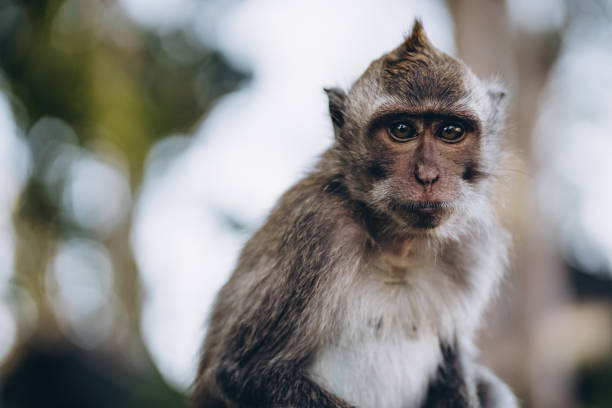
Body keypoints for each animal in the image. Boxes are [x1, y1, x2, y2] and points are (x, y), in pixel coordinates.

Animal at [194, 19, 520, 408]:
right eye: (401, 129)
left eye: (450, 131)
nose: (427, 176)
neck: (399, 247)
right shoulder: (318, 228)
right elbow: (246, 371)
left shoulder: (472, 245)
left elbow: (452, 355)